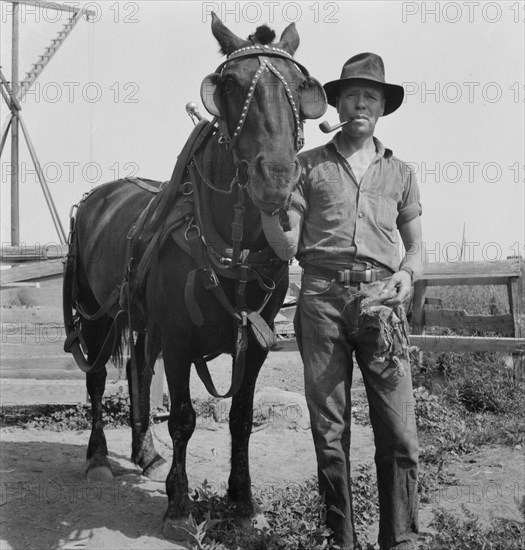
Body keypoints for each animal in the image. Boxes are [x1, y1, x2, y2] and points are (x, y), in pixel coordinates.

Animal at [61, 14, 324, 544]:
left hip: (141, 320)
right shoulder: (180, 339)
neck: (230, 243)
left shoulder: (257, 340)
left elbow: (241, 418)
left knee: (139, 369)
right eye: (229, 83)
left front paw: (242, 502)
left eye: (300, 85)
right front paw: (179, 506)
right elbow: (183, 417)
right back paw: (99, 458)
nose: (276, 178)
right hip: (96, 313)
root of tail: (96, 198)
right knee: (98, 378)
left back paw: (145, 451)